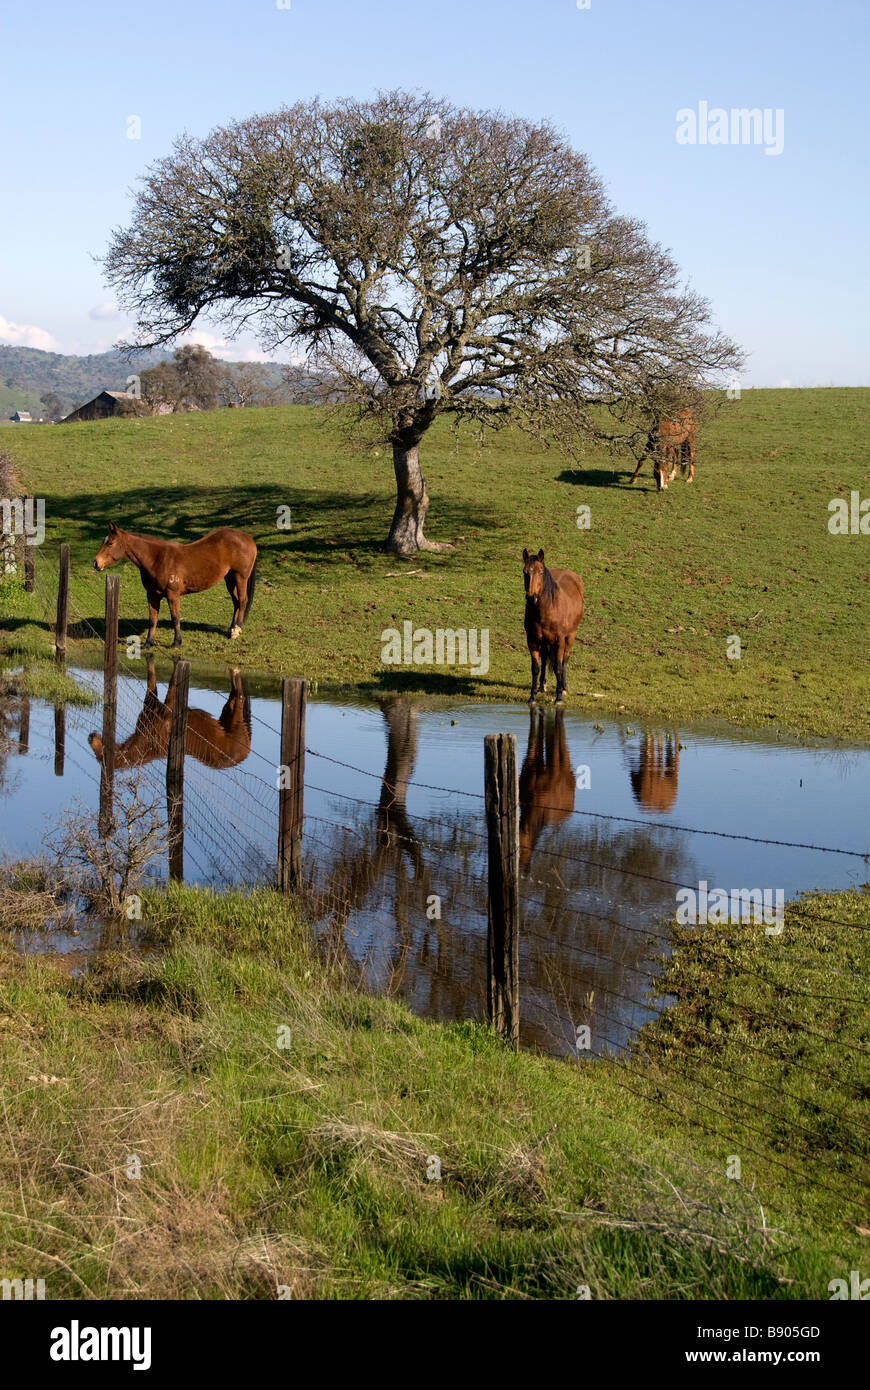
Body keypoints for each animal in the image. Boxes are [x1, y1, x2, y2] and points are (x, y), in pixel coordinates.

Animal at [88, 658, 250, 772]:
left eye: (100, 755)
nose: (91, 737)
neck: (148, 741)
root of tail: (245, 752)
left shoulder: (170, 704)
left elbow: (171, 684)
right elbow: (151, 677)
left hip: (235, 718)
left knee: (239, 697)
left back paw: (235, 671)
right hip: (226, 714)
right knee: (234, 696)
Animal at [95, 522, 258, 647]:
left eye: (110, 543)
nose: (96, 562)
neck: (157, 559)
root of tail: (247, 538)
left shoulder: (172, 595)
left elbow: (175, 617)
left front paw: (176, 642)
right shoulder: (152, 595)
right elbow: (152, 619)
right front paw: (148, 642)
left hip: (240, 577)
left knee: (242, 600)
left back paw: (236, 630)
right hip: (229, 578)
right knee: (236, 602)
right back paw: (231, 629)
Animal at [522, 547, 583, 706]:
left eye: (540, 572)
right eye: (525, 572)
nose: (531, 597)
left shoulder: (559, 640)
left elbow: (558, 667)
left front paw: (559, 697)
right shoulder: (532, 640)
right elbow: (535, 668)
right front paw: (532, 696)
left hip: (570, 636)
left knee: (565, 659)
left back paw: (564, 687)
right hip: (544, 641)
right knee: (544, 659)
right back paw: (541, 686)